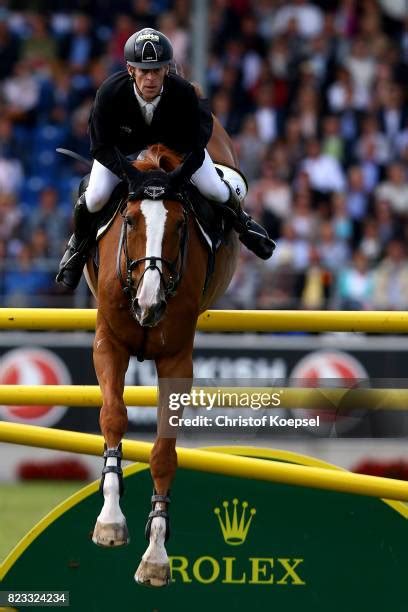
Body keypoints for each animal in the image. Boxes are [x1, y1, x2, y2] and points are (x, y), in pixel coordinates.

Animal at [85, 117, 239, 584]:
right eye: (130, 221)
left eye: (181, 226)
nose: (148, 305)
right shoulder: (109, 343)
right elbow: (114, 417)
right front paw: (110, 521)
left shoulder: (177, 361)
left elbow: (163, 454)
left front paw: (156, 555)